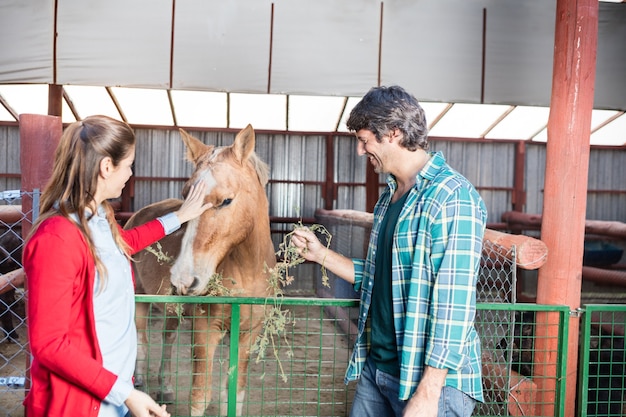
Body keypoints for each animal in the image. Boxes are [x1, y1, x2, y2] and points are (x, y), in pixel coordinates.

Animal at [124, 125, 272, 414]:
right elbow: (200, 395)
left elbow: (233, 393)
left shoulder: (248, 334)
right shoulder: (205, 330)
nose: (183, 279)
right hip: (140, 300)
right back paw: (141, 383)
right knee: (142, 339)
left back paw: (166, 386)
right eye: (186, 195)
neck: (247, 272)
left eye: (226, 200)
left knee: (168, 337)